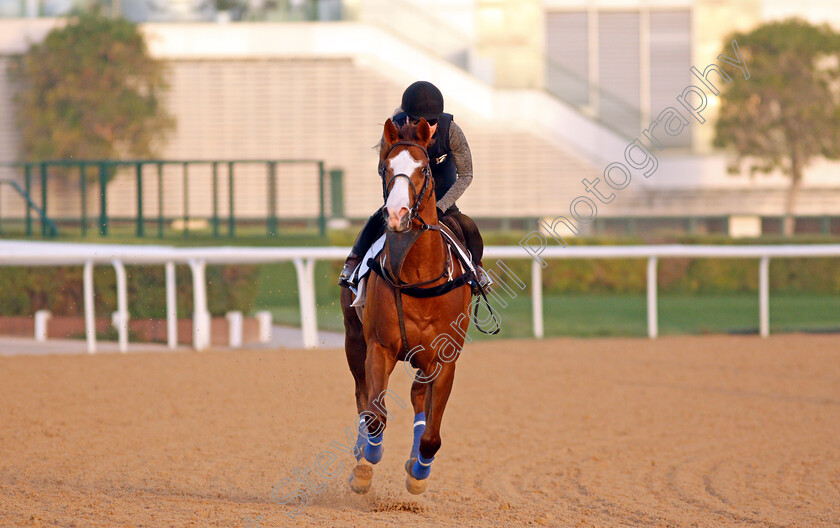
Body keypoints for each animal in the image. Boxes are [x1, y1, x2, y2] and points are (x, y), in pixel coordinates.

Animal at [340, 115, 472, 496]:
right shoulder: (379, 347)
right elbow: (375, 415)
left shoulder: (444, 358)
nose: (397, 214)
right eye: (386, 167)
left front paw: (418, 472)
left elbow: (431, 436)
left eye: (424, 167)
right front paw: (365, 466)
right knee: (362, 395)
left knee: (417, 399)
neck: (419, 277)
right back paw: (361, 453)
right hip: (353, 340)